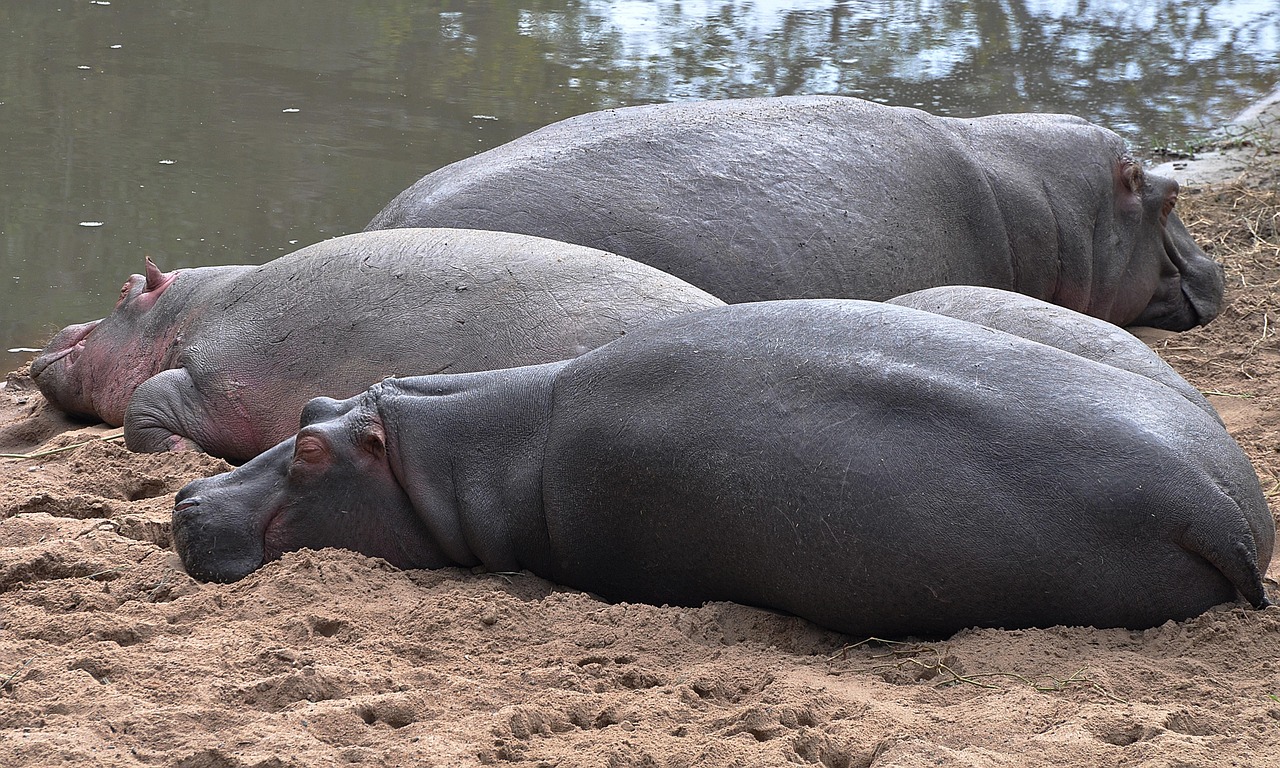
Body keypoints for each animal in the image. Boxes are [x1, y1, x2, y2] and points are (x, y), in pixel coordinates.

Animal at [31, 228, 722, 462]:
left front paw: (179, 455)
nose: (57, 334)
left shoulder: (208, 377)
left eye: (122, 289)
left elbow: (145, 402)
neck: (182, 316)